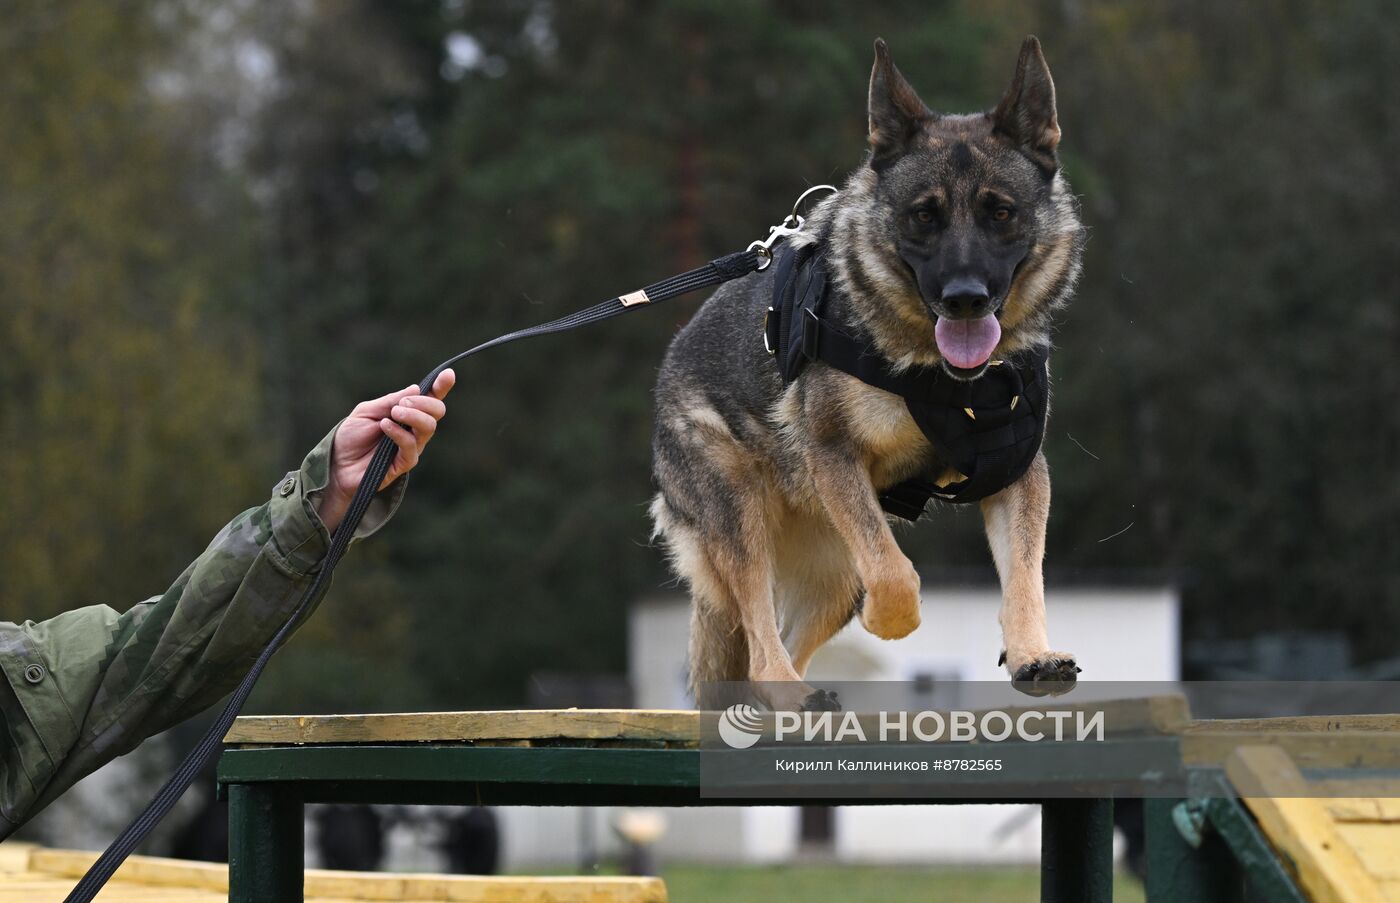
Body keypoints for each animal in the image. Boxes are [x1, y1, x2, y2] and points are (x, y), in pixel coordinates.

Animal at [649, 36, 1086, 711]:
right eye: (923, 216)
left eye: (1001, 213)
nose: (965, 298)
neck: (939, 375)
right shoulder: (835, 455)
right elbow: (894, 569)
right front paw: (892, 621)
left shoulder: (1017, 472)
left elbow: (1024, 577)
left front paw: (1032, 654)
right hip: (741, 516)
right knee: (759, 636)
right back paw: (791, 694)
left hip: (831, 577)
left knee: (779, 636)